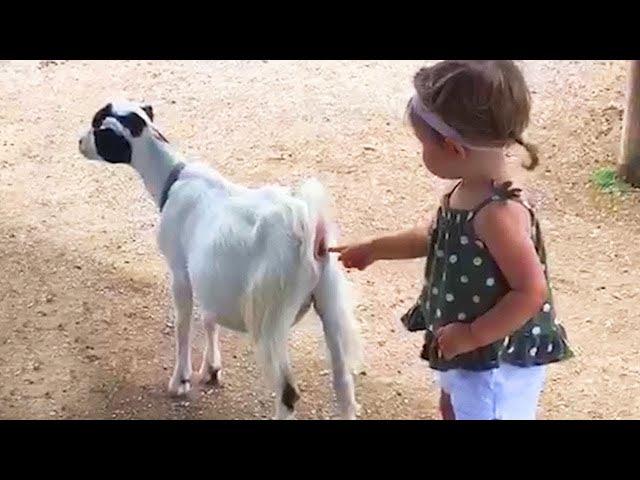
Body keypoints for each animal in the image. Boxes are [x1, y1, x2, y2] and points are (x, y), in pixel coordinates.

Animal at [76, 99, 360, 418]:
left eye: (98, 128)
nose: (80, 142)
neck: (173, 178)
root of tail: (308, 226)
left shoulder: (180, 271)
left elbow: (183, 324)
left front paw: (180, 381)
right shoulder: (208, 276)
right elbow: (209, 318)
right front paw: (211, 369)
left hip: (270, 314)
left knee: (288, 392)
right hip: (329, 302)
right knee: (343, 384)